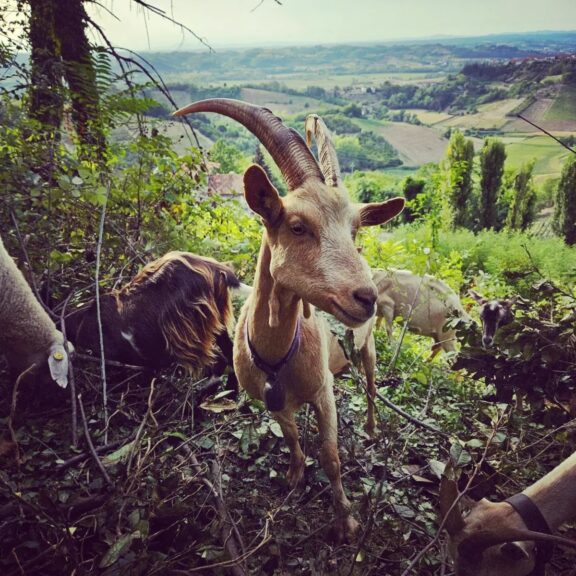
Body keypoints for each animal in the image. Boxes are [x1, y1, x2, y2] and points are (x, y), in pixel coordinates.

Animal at [173, 100, 402, 540]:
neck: (278, 356)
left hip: (368, 349)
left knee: (369, 385)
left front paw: (345, 521)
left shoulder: (322, 392)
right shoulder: (271, 401)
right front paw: (295, 475)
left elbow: (330, 456)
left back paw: (370, 429)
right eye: (297, 226)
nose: (364, 297)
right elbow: (292, 437)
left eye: (354, 231)